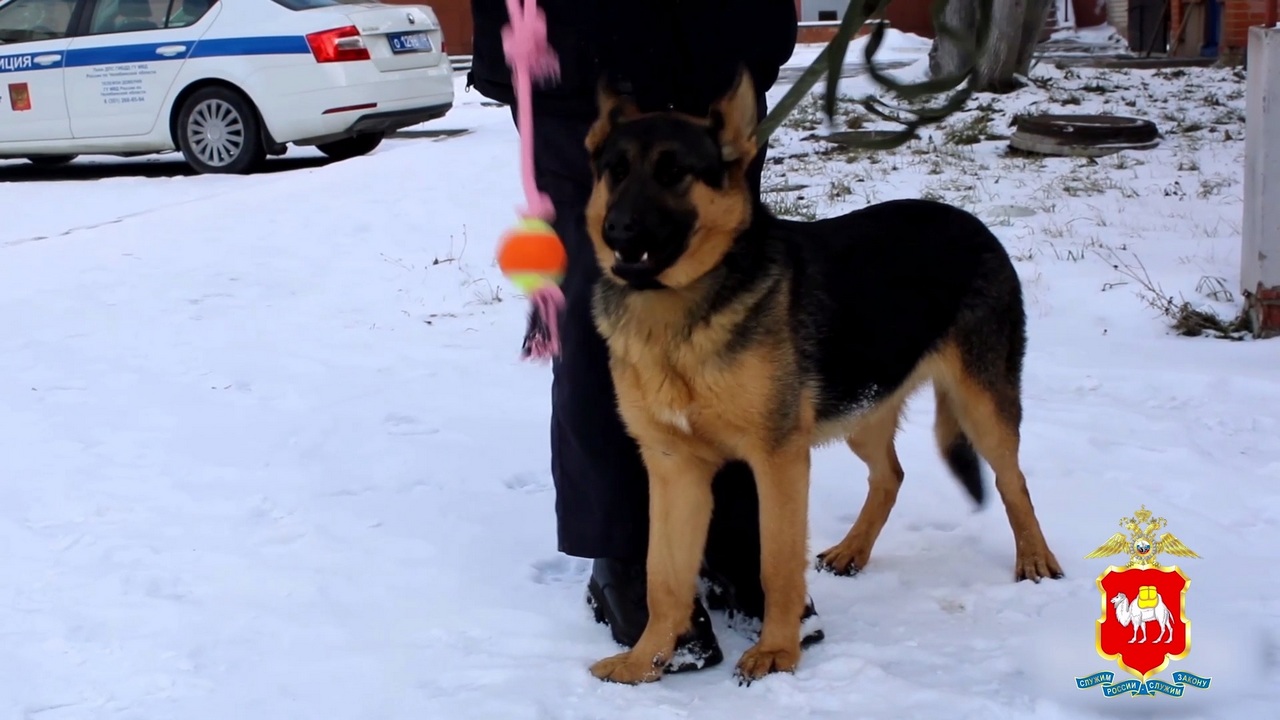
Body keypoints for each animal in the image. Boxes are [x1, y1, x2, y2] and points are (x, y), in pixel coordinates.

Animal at [581, 71, 1059, 681]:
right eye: (615, 171)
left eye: (674, 174)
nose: (617, 230)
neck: (680, 315)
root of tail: (970, 221)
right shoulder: (673, 469)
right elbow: (664, 577)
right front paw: (647, 661)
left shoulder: (779, 461)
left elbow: (777, 564)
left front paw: (779, 651)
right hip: (862, 408)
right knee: (890, 476)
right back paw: (854, 550)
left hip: (982, 405)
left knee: (1010, 479)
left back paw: (1035, 558)